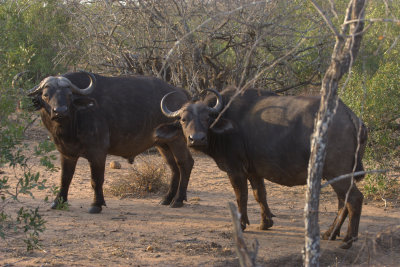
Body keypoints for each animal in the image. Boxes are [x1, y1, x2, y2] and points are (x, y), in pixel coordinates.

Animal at [28, 70, 194, 214]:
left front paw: (96, 204)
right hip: (163, 144)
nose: (60, 111)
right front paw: (58, 202)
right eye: (46, 95)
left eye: (69, 95)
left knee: (185, 163)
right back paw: (167, 198)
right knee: (174, 167)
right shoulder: (67, 153)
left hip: (177, 141)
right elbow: (65, 178)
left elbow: (96, 180)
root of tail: (180, 92)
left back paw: (178, 200)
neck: (71, 124)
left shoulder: (98, 153)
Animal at [155, 87, 368, 249]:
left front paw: (242, 224)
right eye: (183, 119)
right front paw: (266, 222)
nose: (196, 139)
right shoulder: (254, 171)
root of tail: (351, 116)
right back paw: (330, 233)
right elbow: (260, 195)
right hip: (335, 175)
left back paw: (348, 240)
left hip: (338, 173)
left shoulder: (235, 170)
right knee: (343, 203)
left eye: (208, 118)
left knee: (354, 200)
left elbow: (241, 196)